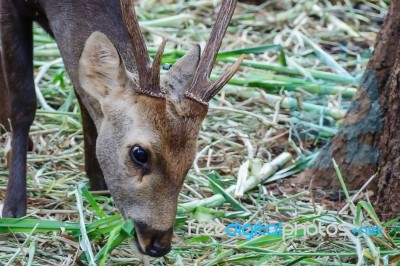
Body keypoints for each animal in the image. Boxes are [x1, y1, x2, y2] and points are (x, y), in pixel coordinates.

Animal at [0, 0, 242, 258]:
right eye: (139, 154)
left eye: (190, 159)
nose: (158, 245)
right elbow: (24, 103)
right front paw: (13, 210)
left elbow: (83, 95)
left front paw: (97, 183)